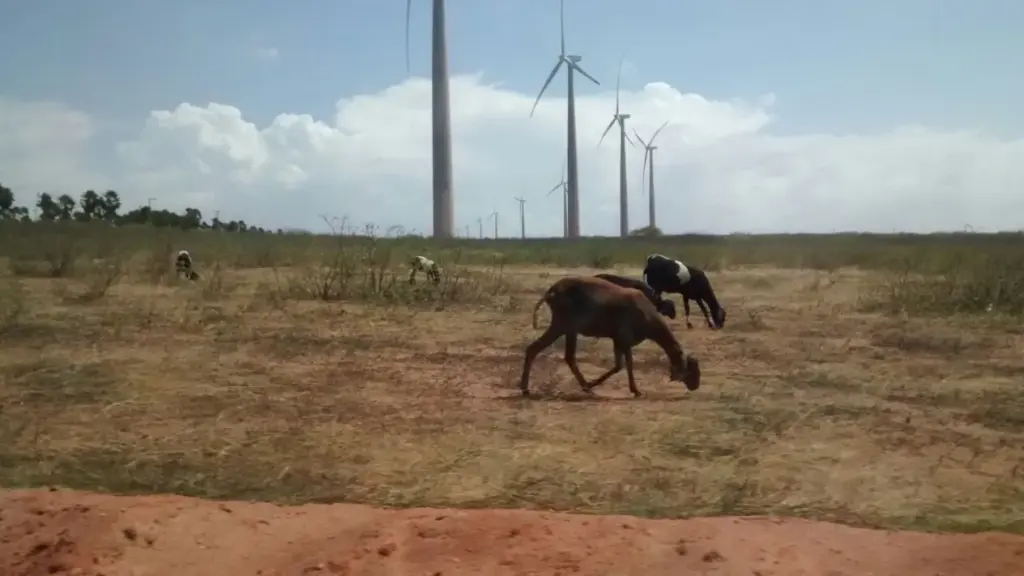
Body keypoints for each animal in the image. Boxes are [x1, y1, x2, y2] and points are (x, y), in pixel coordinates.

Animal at [520, 276, 701, 398]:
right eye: (692, 371)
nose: (696, 386)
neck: (648, 315)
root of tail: (552, 291)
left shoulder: (618, 340)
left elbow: (618, 366)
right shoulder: (624, 337)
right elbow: (627, 364)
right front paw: (635, 390)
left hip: (567, 328)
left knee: (556, 354)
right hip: (564, 324)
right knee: (544, 351)